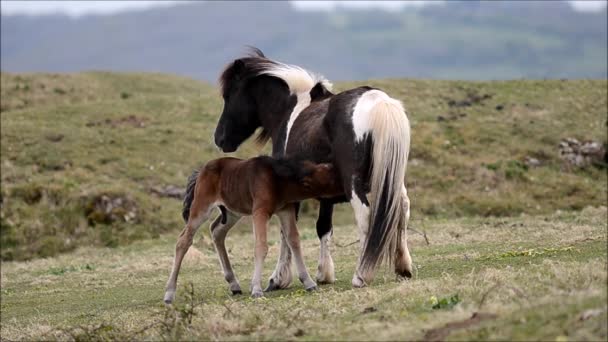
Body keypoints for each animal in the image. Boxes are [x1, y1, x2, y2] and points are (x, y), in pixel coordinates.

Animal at [163, 155, 342, 302]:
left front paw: (309, 282)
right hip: (201, 208)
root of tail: (201, 171)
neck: (277, 179)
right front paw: (256, 289)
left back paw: (234, 284)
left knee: (217, 231)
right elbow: (261, 246)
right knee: (184, 240)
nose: (344, 192)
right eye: (331, 179)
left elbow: (294, 241)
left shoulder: (286, 210)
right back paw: (169, 293)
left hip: (232, 212)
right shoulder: (260, 212)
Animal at [214, 47, 414, 288]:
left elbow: (287, 232)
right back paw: (403, 267)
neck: (289, 111)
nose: (219, 138)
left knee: (365, 217)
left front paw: (278, 278)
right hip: (393, 179)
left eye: (228, 95)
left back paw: (361, 275)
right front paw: (324, 273)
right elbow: (323, 228)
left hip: (355, 184)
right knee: (402, 208)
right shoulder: (326, 195)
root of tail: (376, 101)